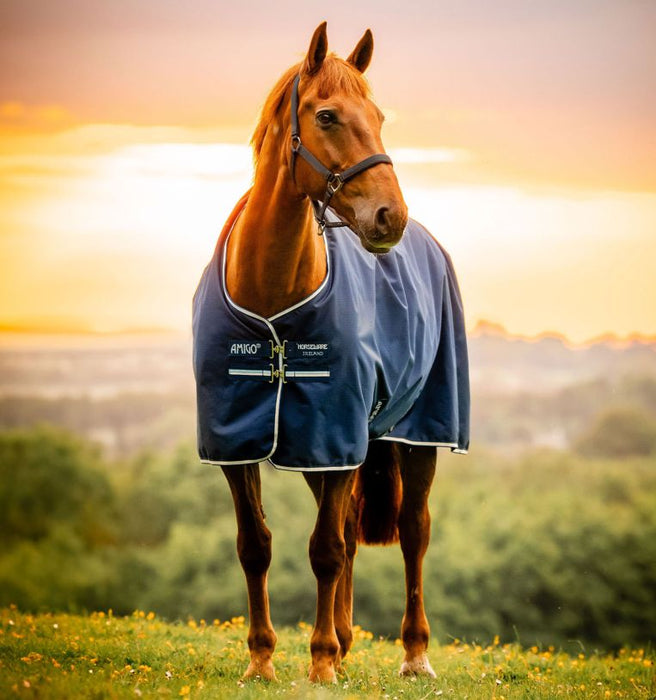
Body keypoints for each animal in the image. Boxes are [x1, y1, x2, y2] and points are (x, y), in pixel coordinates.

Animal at [192, 22, 469, 683]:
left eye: (379, 115)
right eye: (326, 115)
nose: (390, 216)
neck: (272, 300)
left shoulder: (335, 433)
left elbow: (325, 549)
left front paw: (318, 665)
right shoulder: (242, 440)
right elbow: (256, 546)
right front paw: (262, 661)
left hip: (416, 432)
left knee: (413, 530)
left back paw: (413, 653)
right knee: (344, 527)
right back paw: (343, 640)